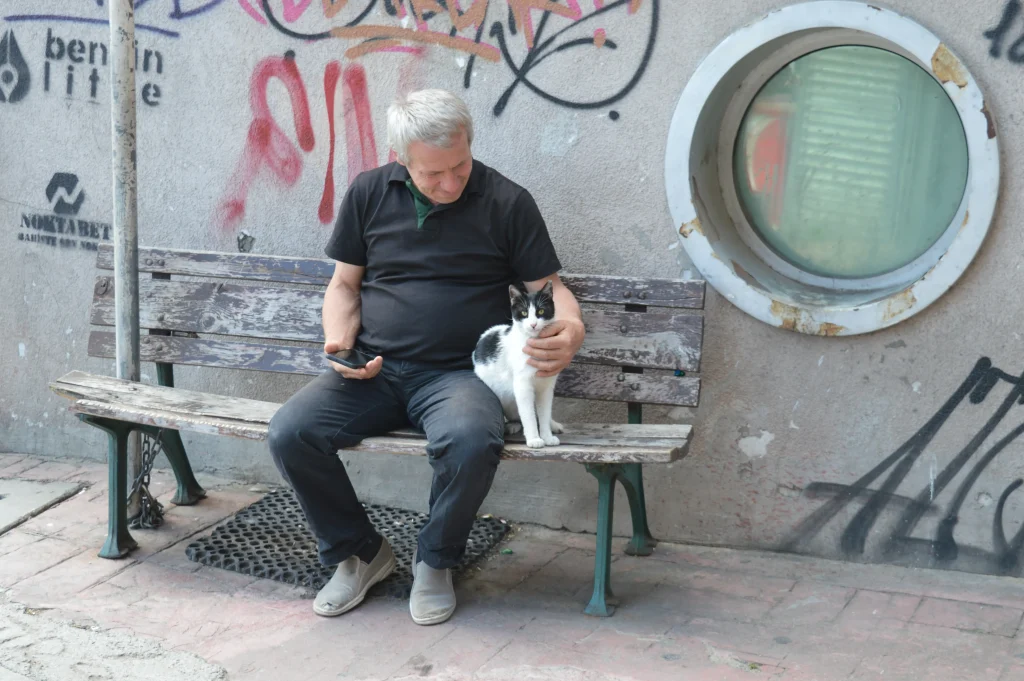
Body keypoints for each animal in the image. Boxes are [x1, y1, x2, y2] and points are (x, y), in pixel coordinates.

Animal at [473, 280, 564, 448]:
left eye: (541, 311)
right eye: (523, 313)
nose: (533, 324)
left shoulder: (546, 386)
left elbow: (544, 411)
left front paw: (547, 436)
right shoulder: (523, 385)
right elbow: (528, 414)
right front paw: (534, 439)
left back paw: (552, 424)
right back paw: (513, 425)